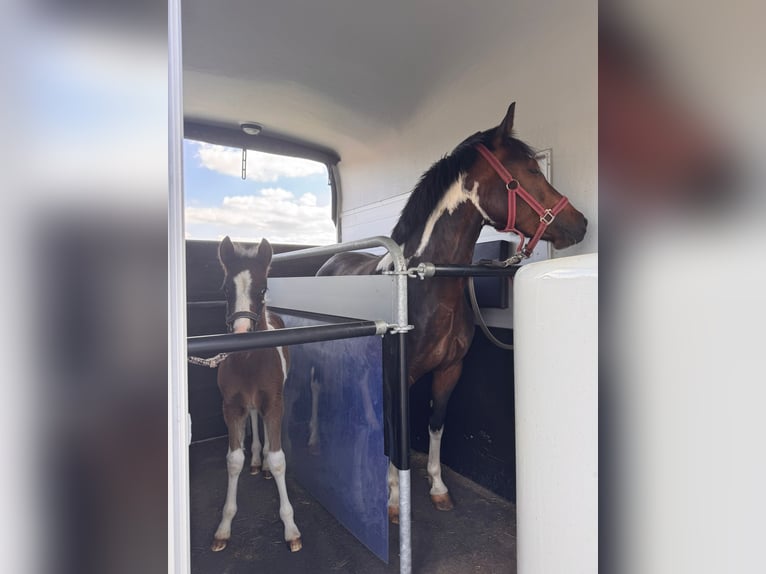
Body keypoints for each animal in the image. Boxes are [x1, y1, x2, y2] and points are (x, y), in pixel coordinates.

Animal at [211, 236, 302, 553]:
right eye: (226, 289)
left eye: (262, 289)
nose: (241, 334)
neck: (250, 360)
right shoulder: (230, 406)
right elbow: (233, 460)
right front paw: (224, 526)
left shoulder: (275, 403)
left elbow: (278, 460)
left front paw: (290, 528)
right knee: (253, 417)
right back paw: (255, 460)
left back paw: (261, 462)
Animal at [317, 102, 588, 521]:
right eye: (529, 171)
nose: (580, 223)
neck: (422, 286)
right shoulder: (396, 376)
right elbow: (394, 427)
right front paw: (392, 498)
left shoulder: (449, 370)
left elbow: (436, 424)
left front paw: (438, 487)